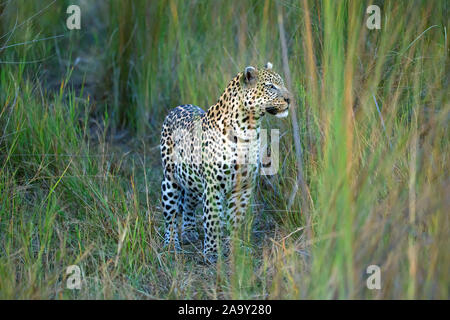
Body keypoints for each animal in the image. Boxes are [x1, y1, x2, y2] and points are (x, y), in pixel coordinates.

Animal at [160, 62, 290, 262]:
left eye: (281, 83)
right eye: (271, 86)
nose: (290, 99)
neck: (249, 127)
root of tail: (179, 106)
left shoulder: (243, 187)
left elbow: (235, 220)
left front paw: (235, 247)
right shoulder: (213, 186)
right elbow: (212, 220)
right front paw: (212, 252)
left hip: (192, 179)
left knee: (189, 202)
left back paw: (189, 232)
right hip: (170, 180)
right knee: (171, 215)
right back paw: (171, 245)